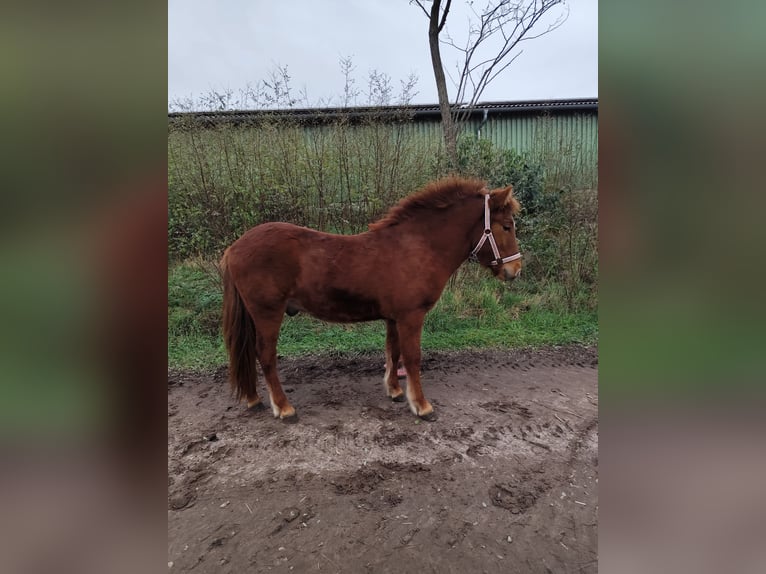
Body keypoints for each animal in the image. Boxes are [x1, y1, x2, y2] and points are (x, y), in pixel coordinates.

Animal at [220, 176, 521, 421]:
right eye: (507, 226)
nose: (515, 270)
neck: (418, 246)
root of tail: (234, 248)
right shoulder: (411, 316)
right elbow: (412, 358)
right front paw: (421, 406)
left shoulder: (394, 318)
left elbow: (394, 353)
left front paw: (395, 391)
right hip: (268, 313)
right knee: (265, 355)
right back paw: (284, 408)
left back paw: (254, 399)